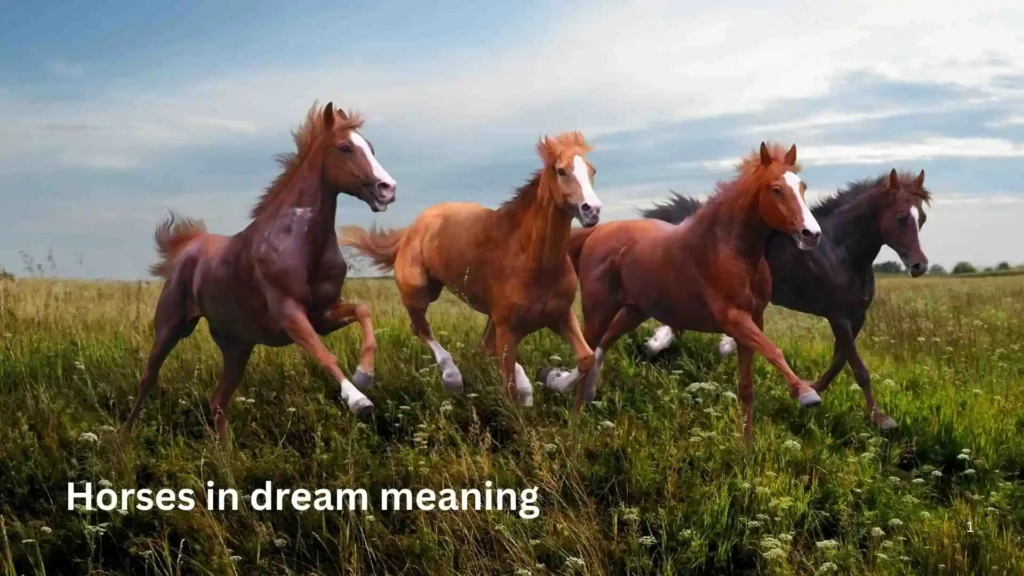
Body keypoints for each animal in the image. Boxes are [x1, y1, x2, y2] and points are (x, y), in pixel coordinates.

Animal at [121, 101, 397, 446]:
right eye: (345, 147)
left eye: (371, 148)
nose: (387, 189)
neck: (299, 244)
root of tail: (189, 247)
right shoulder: (289, 314)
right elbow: (325, 356)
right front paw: (359, 400)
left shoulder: (322, 316)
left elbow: (363, 310)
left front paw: (365, 374)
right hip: (171, 328)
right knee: (148, 379)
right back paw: (122, 441)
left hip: (236, 347)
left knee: (218, 402)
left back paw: (228, 456)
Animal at [339, 131, 602, 410]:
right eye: (561, 171)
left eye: (592, 170)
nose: (592, 210)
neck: (535, 260)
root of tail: (412, 229)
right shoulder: (507, 329)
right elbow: (508, 387)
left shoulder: (559, 315)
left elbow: (586, 358)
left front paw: (553, 378)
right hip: (419, 293)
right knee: (422, 329)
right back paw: (452, 378)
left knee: (482, 346)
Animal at [545, 142, 822, 443]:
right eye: (776, 189)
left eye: (803, 186)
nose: (812, 234)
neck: (727, 249)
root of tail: (597, 234)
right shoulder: (734, 319)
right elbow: (774, 351)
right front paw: (807, 394)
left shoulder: (754, 319)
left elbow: (747, 387)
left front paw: (747, 447)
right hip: (599, 310)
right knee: (587, 353)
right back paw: (573, 426)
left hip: (635, 311)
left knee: (601, 346)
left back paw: (581, 390)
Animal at [641, 169, 931, 429]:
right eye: (901, 217)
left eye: (923, 218)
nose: (919, 265)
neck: (840, 251)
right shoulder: (838, 317)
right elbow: (858, 368)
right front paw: (881, 419)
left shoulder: (856, 318)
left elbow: (839, 362)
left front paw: (810, 388)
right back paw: (657, 345)